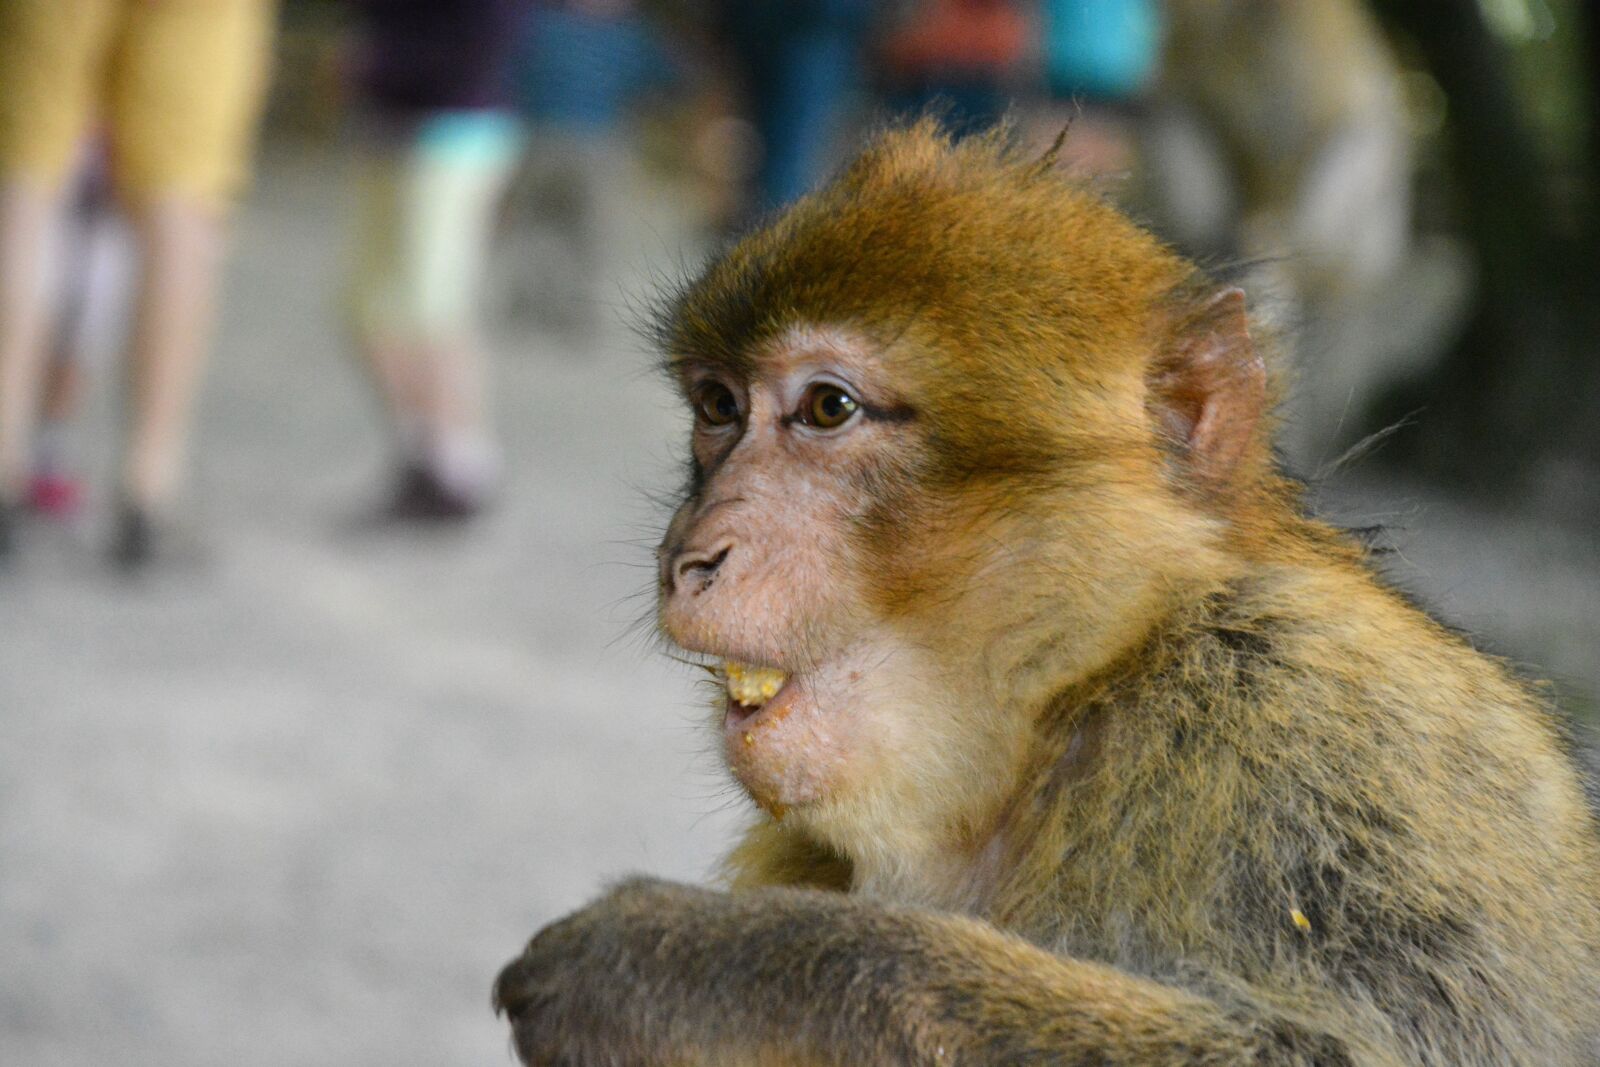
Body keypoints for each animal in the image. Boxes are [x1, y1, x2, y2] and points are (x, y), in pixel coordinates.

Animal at [494, 122, 1600, 1065]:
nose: (690, 552)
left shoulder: (1324, 735)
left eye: (827, 408)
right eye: (718, 406)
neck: (1070, 703)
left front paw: (692, 962)